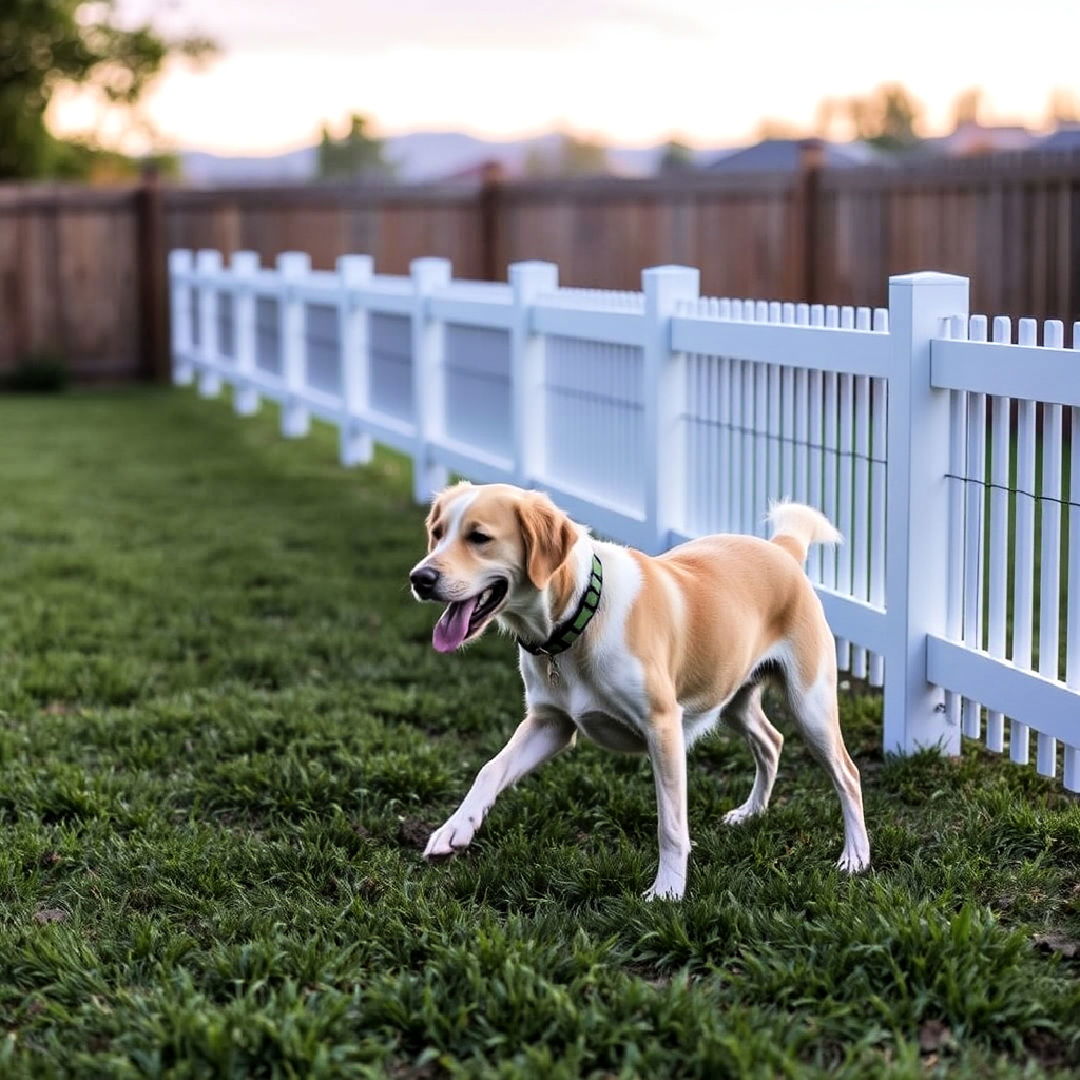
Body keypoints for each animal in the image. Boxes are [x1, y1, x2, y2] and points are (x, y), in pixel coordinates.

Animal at [406, 486, 868, 898]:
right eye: (437, 532)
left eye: (478, 537)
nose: (419, 578)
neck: (577, 621)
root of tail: (783, 549)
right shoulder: (550, 724)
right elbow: (489, 770)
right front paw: (453, 830)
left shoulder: (662, 728)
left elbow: (670, 825)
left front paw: (667, 892)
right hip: (731, 697)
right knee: (771, 741)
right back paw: (751, 812)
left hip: (811, 704)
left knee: (848, 774)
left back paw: (856, 858)